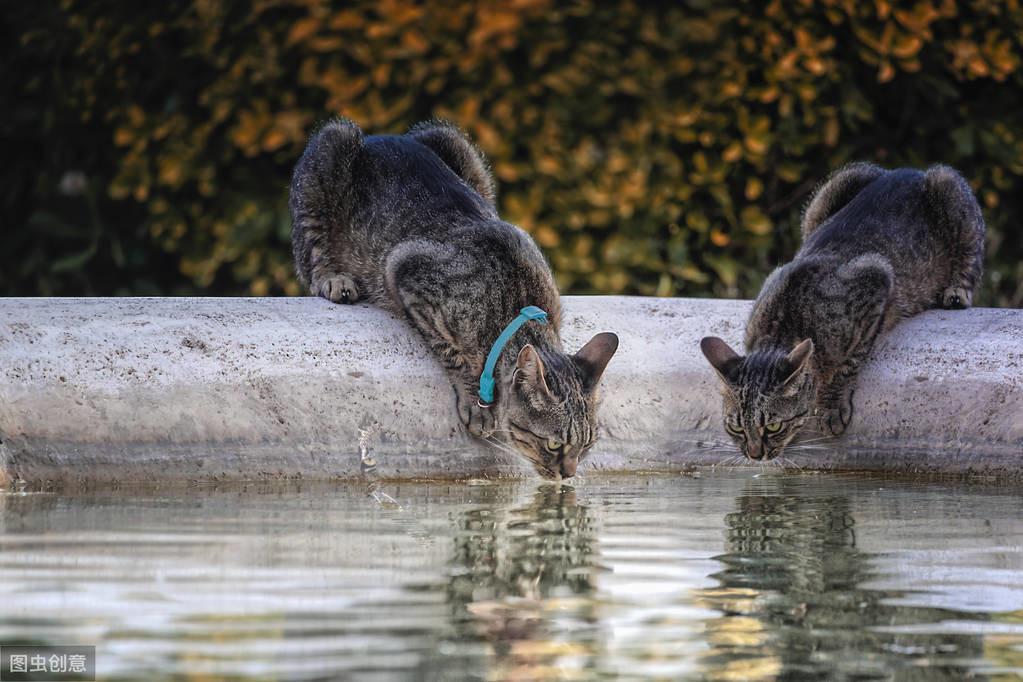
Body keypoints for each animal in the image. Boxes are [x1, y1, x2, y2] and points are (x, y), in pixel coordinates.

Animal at [292, 118, 617, 480]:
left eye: (587, 446)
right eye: (554, 444)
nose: (569, 474)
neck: (517, 308)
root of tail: (380, 136)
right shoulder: (404, 268)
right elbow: (452, 352)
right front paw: (476, 401)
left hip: (456, 143)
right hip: (333, 145)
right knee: (312, 250)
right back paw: (333, 278)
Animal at [703, 164, 982, 462]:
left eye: (774, 427)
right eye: (736, 429)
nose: (754, 455)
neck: (779, 327)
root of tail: (908, 170)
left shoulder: (876, 278)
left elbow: (847, 365)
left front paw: (831, 405)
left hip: (948, 187)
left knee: (970, 261)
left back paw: (956, 292)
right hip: (834, 188)